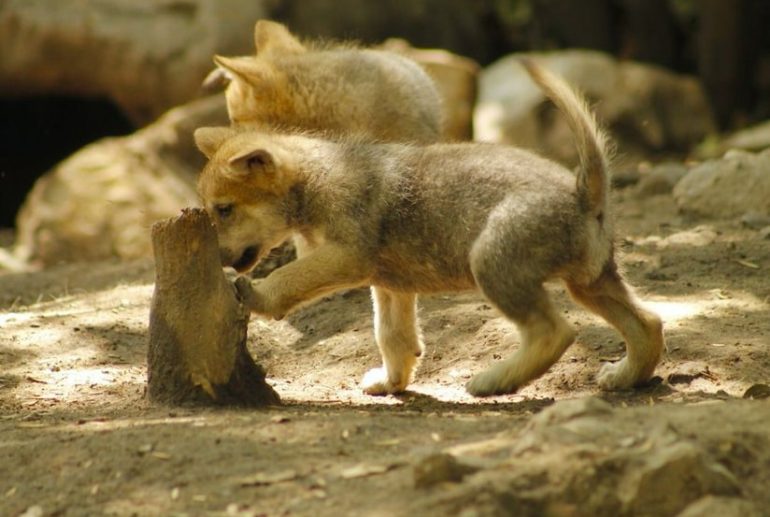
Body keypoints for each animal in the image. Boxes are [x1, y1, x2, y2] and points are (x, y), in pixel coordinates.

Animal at [194, 60, 664, 396]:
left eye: (224, 210)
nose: (214, 257)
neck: (318, 178)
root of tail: (584, 191)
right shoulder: (389, 286)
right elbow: (394, 338)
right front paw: (392, 383)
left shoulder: (347, 256)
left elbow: (288, 277)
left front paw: (255, 294)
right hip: (590, 283)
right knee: (649, 324)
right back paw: (624, 378)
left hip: (492, 264)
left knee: (556, 332)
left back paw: (495, 380)